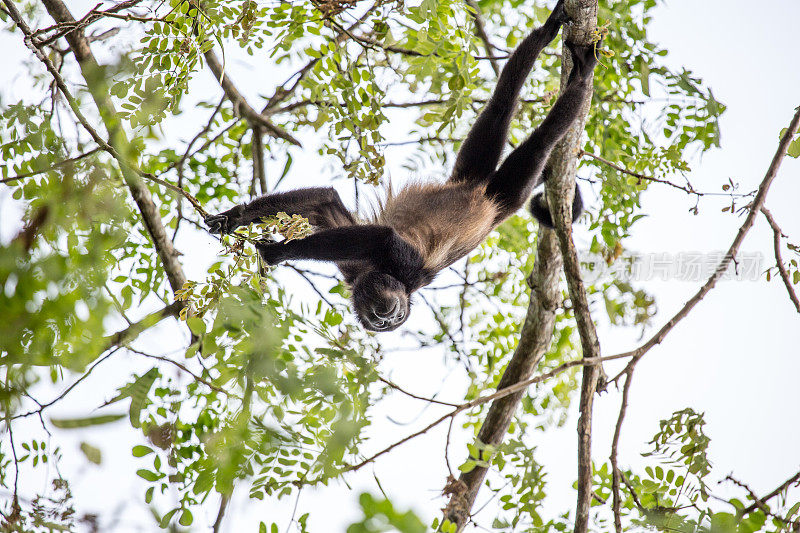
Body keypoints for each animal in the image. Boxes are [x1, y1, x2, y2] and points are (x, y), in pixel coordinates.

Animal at [203, 0, 596, 330]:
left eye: (390, 318)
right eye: (380, 322)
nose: (386, 318)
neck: (383, 276)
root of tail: (479, 192)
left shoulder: (409, 268)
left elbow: (383, 236)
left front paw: (277, 252)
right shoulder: (355, 266)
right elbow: (324, 202)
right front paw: (234, 218)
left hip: (508, 194)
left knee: (541, 139)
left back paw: (574, 70)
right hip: (475, 171)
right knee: (500, 108)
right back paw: (545, 44)